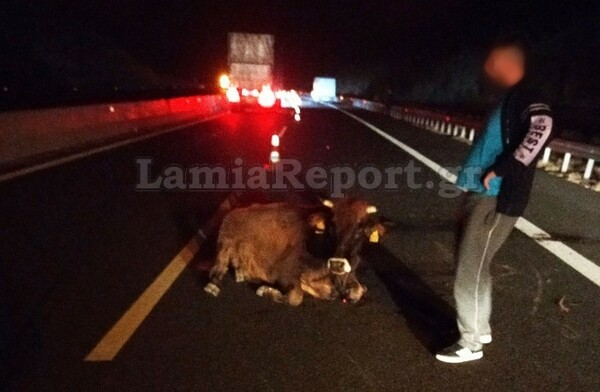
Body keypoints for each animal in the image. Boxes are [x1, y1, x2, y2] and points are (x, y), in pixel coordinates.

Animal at [204, 199, 386, 306]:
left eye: (360, 229)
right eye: (332, 226)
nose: (337, 264)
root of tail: (235, 210)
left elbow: (359, 290)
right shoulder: (284, 272)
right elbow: (295, 297)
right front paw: (266, 291)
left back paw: (241, 273)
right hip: (225, 243)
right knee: (217, 268)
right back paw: (213, 286)